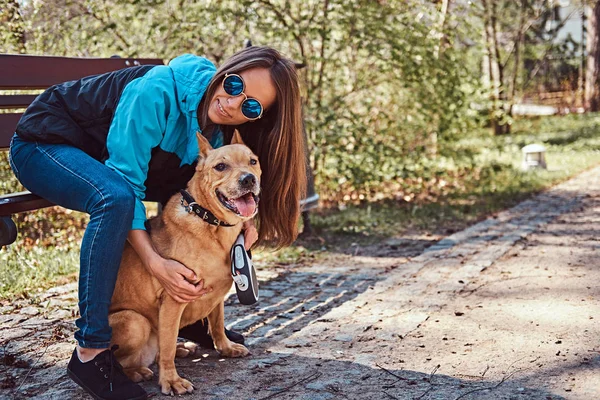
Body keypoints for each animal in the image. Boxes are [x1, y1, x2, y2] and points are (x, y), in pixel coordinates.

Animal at [109, 130, 258, 394]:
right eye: (221, 166)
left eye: (253, 162)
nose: (249, 179)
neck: (211, 224)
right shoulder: (173, 300)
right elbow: (167, 345)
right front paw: (171, 380)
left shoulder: (217, 296)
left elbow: (217, 324)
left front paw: (226, 348)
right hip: (134, 322)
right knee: (123, 360)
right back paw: (136, 372)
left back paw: (181, 348)